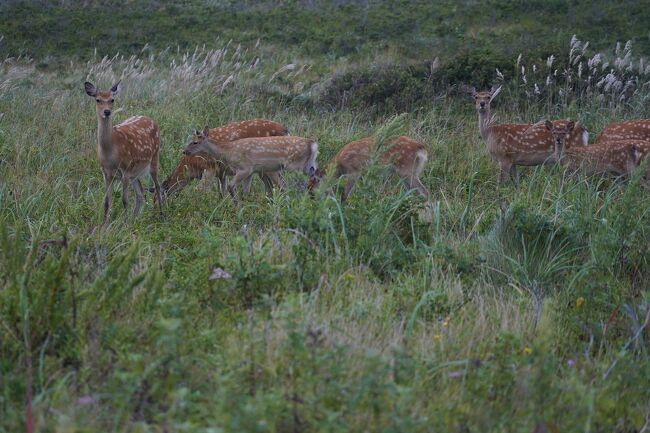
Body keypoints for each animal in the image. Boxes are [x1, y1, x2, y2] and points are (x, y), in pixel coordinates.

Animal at [84, 79, 162, 226]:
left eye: (112, 99)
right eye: (98, 100)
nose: (107, 111)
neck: (110, 153)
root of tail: (151, 119)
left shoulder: (125, 169)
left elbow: (124, 200)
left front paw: (124, 225)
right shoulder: (105, 172)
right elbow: (106, 201)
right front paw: (105, 225)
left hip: (154, 157)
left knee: (157, 186)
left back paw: (162, 215)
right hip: (135, 171)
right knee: (140, 193)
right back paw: (135, 219)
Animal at [156, 119, 288, 198]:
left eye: (157, 199)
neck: (192, 167)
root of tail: (286, 130)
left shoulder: (210, 167)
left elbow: (200, 190)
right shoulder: (221, 172)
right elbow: (222, 192)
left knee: (282, 184)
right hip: (262, 170)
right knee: (270, 186)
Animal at [181, 126, 318, 202]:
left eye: (195, 142)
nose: (184, 151)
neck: (228, 151)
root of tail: (313, 144)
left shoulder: (245, 168)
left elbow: (231, 186)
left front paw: (237, 207)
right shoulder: (250, 172)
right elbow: (245, 191)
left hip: (295, 165)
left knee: (289, 185)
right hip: (309, 165)